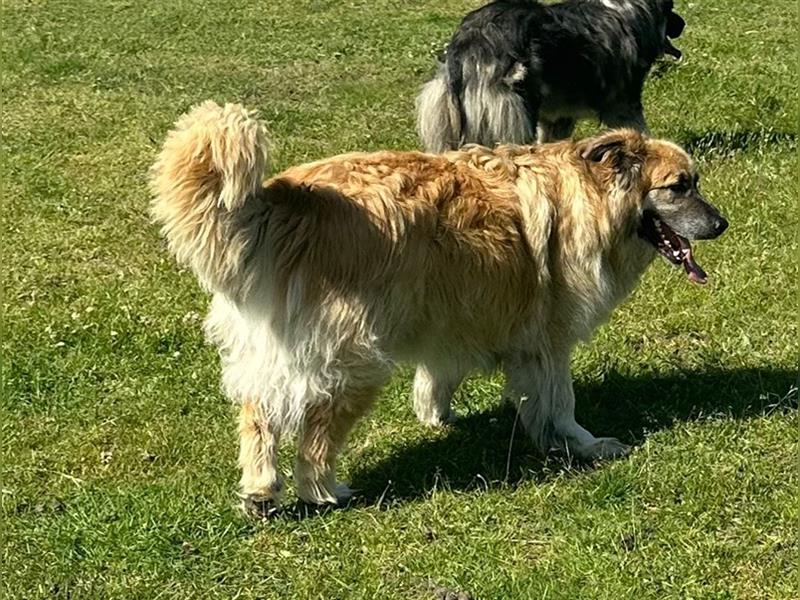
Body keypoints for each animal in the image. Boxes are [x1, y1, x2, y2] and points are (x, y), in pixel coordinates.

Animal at [148, 101, 724, 512]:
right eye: (679, 187)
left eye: (694, 182)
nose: (722, 224)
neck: (585, 193)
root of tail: (287, 202)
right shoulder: (547, 341)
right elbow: (560, 403)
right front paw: (582, 444)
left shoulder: (453, 314)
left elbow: (440, 373)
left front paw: (436, 416)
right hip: (353, 360)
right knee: (314, 431)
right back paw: (323, 490)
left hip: (273, 347)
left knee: (258, 413)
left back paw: (261, 490)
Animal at [416, 0, 684, 152]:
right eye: (671, 9)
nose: (683, 24)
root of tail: (469, 43)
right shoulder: (623, 106)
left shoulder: (556, 118)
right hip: (514, 117)